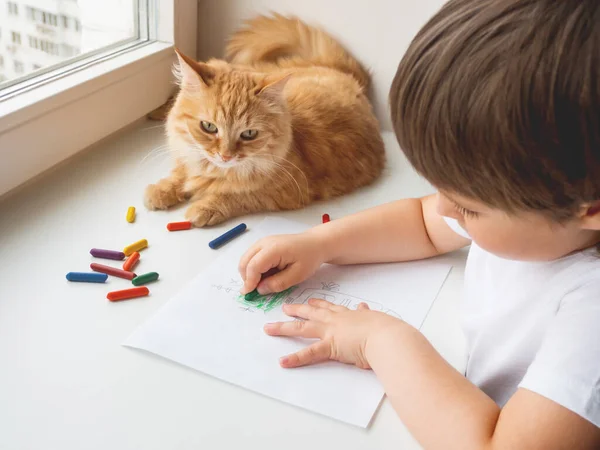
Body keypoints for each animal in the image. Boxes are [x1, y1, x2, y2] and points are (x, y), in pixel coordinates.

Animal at [145, 14, 384, 227]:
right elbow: (181, 171)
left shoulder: (284, 193)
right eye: (209, 127)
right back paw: (155, 112)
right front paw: (161, 190)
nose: (225, 156)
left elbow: (237, 196)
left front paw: (204, 208)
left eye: (249, 134)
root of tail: (347, 75)